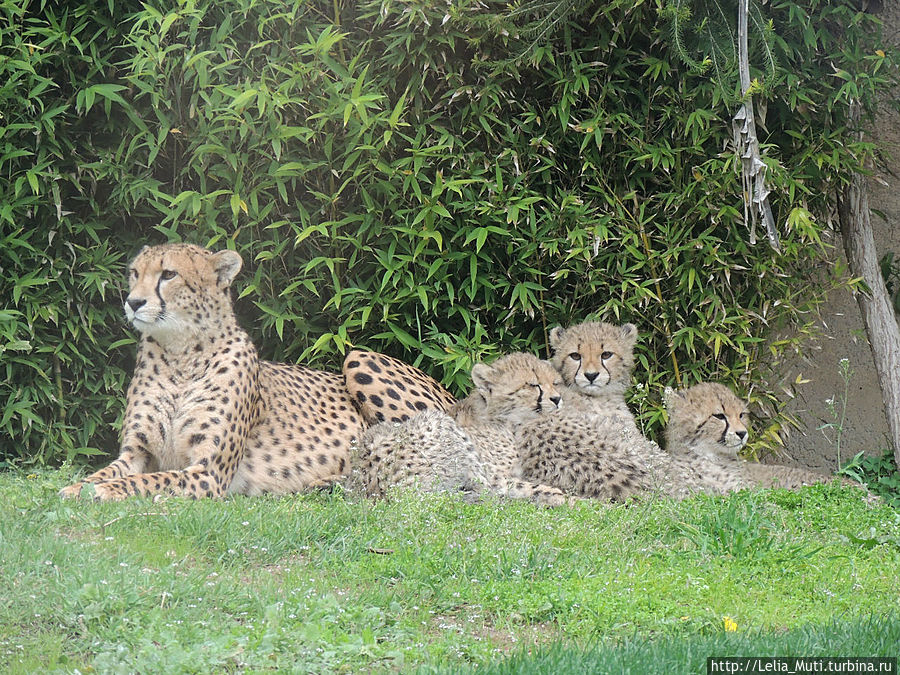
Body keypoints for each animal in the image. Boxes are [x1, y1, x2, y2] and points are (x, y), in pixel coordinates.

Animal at [59, 244, 364, 502]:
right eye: (135, 273)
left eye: (168, 274)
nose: (133, 302)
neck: (180, 355)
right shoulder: (136, 453)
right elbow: (103, 473)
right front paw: (78, 487)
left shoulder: (208, 473)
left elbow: (150, 480)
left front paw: (105, 490)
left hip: (356, 358)